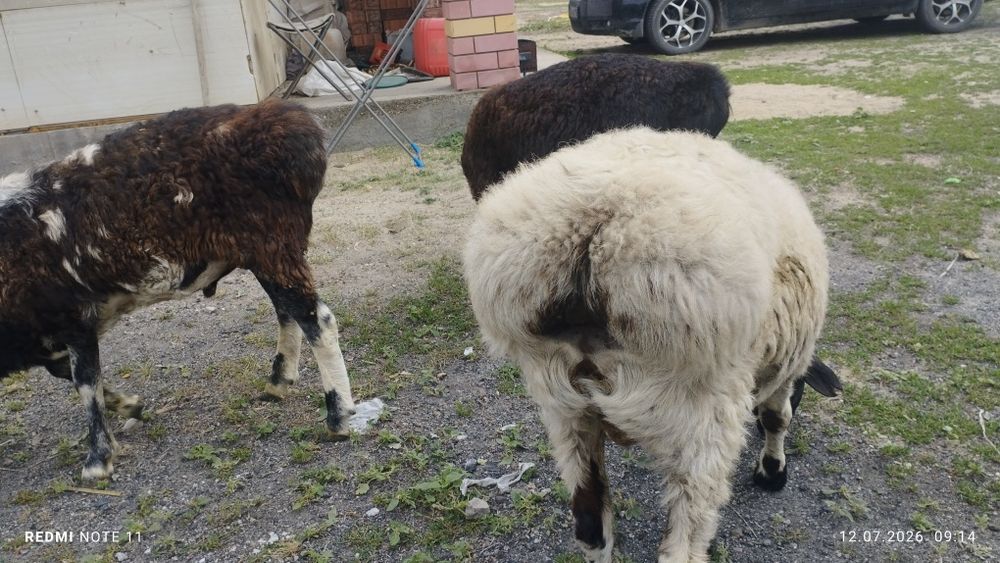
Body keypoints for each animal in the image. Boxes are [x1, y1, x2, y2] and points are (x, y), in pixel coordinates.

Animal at [0, 99, 355, 480]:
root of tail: (292, 119)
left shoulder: (73, 316)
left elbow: (84, 383)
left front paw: (98, 460)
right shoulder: (48, 336)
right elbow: (70, 374)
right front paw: (130, 406)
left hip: (272, 241)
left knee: (316, 319)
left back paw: (338, 418)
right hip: (264, 251)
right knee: (287, 311)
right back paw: (278, 384)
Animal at [463, 127, 831, 562]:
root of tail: (596, 228)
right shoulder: (786, 370)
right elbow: (778, 417)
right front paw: (772, 472)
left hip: (562, 403)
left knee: (590, 523)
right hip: (701, 414)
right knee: (682, 544)